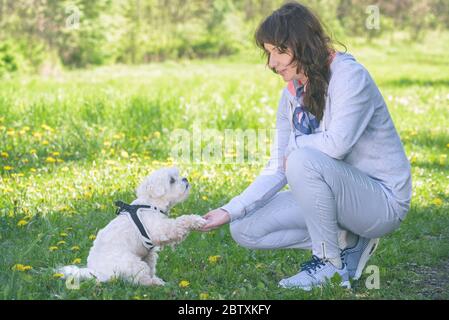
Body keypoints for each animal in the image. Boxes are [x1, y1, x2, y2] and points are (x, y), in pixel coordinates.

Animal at [57, 166, 206, 286]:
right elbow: (180, 222)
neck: (151, 203)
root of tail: (98, 273)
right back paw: (154, 284)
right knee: (139, 280)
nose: (185, 179)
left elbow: (152, 267)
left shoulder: (149, 255)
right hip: (133, 263)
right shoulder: (159, 229)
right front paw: (197, 220)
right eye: (172, 180)